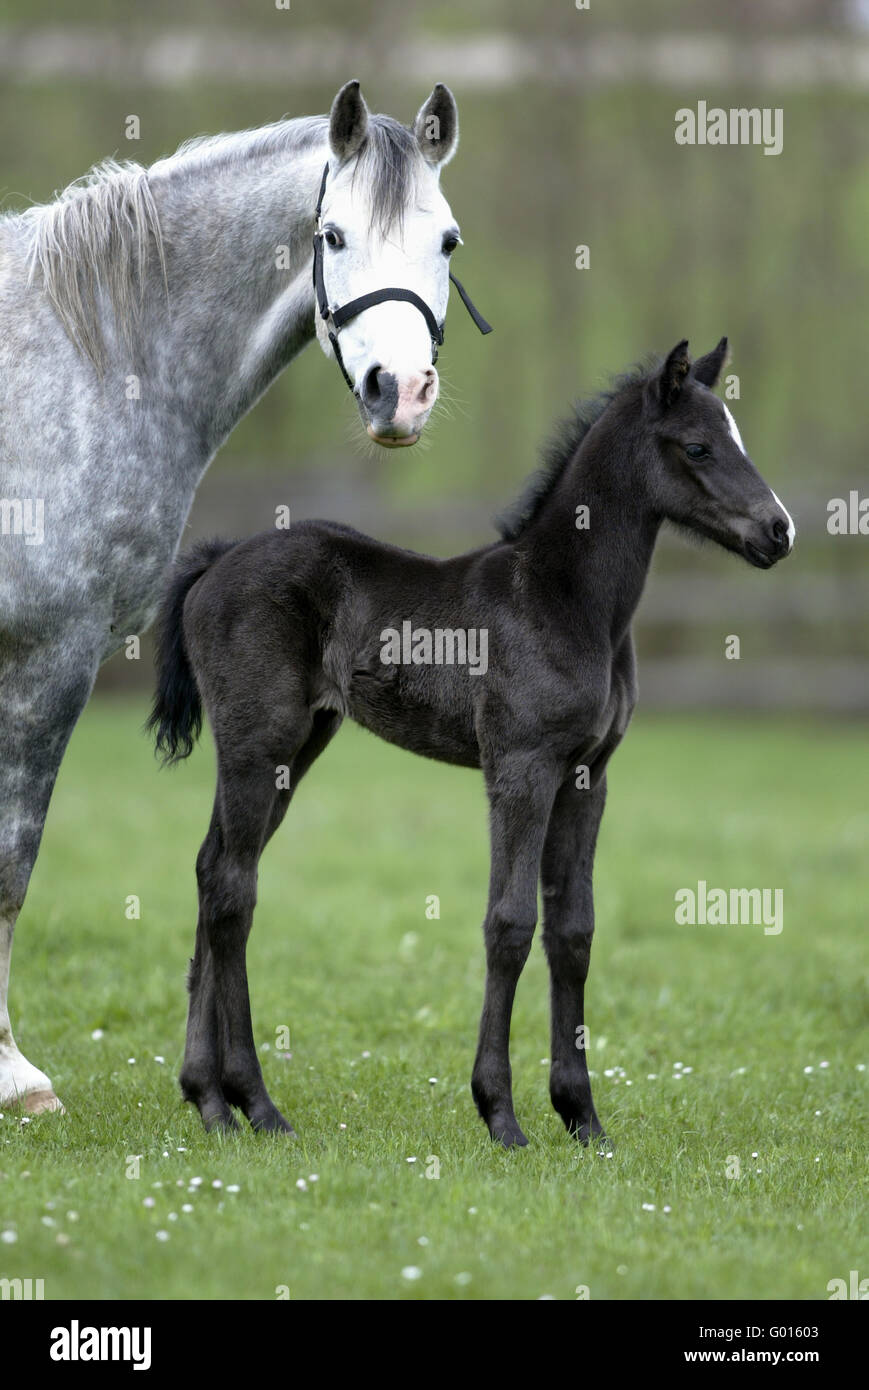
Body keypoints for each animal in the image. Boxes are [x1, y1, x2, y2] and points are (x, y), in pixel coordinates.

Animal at [0, 81, 478, 1112]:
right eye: (332, 235)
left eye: (448, 241)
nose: (399, 391)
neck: (84, 358)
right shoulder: (49, 652)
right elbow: (13, 855)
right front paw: (12, 1075)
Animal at [150, 339, 795, 1139]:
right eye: (699, 446)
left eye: (737, 437)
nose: (779, 531)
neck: (566, 601)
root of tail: (216, 560)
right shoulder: (520, 767)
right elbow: (510, 922)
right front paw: (501, 1116)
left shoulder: (588, 775)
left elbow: (573, 930)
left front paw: (582, 1118)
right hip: (260, 742)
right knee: (234, 888)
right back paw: (257, 1102)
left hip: (295, 749)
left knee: (211, 870)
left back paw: (209, 1100)